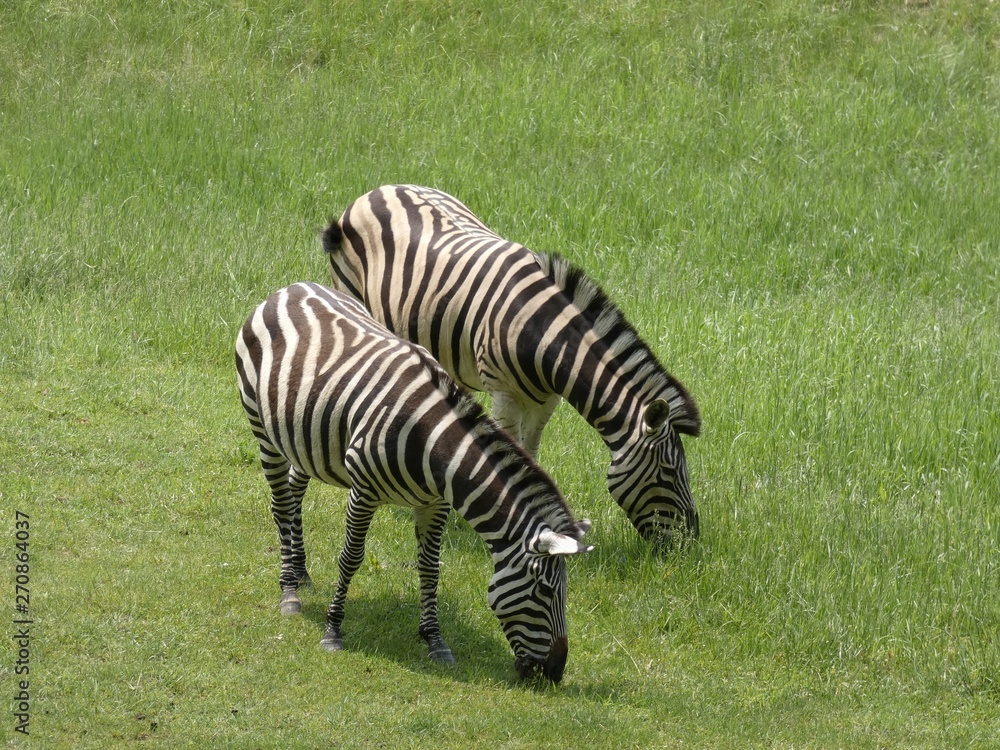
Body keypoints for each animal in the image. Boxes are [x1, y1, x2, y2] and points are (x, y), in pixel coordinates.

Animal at [234, 284, 592, 684]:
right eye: (545, 590)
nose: (557, 671)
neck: (433, 446)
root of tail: (291, 288)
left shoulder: (435, 503)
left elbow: (430, 567)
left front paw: (435, 639)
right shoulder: (363, 491)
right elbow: (351, 558)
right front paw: (333, 630)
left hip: (306, 441)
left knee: (295, 492)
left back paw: (301, 572)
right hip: (262, 428)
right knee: (281, 503)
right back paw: (289, 591)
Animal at [322, 182, 704, 548]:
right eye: (668, 471)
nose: (690, 543)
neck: (544, 334)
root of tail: (377, 190)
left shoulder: (546, 401)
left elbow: (530, 452)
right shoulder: (504, 394)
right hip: (352, 294)